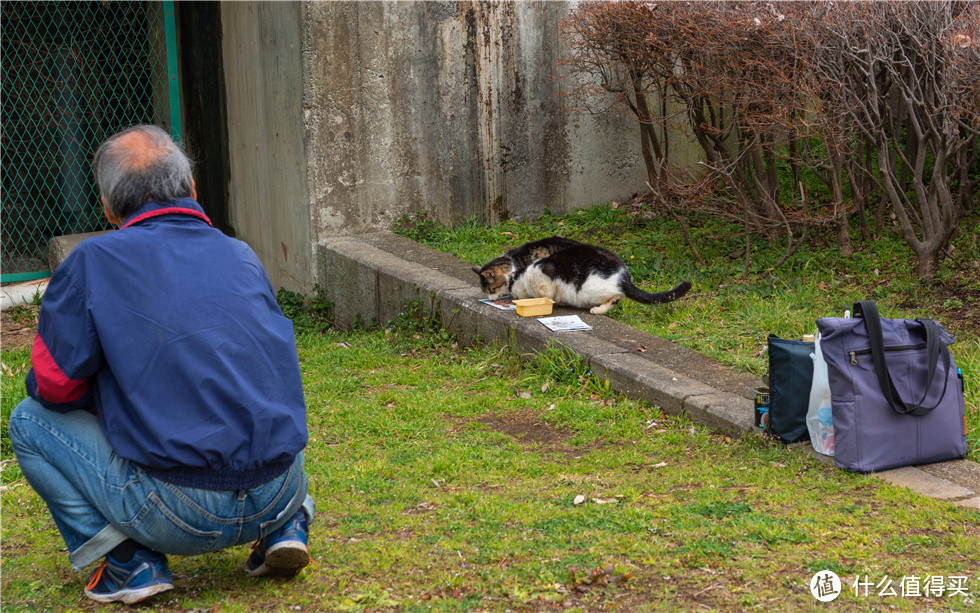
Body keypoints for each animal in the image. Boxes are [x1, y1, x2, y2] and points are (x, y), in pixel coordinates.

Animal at [472, 235, 688, 314]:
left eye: (491, 289)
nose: (491, 298)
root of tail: (623, 276)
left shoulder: (544, 274)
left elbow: (546, 294)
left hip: (589, 288)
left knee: (616, 297)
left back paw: (597, 309)